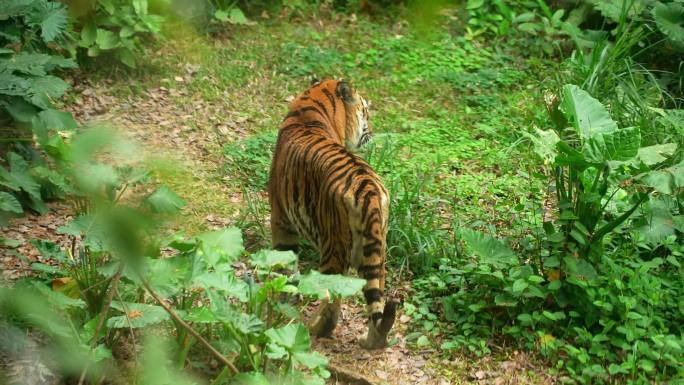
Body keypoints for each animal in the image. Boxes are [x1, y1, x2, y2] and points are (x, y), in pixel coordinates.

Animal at [268, 78, 396, 348]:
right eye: (366, 111)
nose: (372, 131)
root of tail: (368, 189)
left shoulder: (280, 218)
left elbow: (285, 265)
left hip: (333, 247)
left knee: (332, 303)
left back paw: (313, 328)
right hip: (377, 249)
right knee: (376, 295)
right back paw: (372, 340)